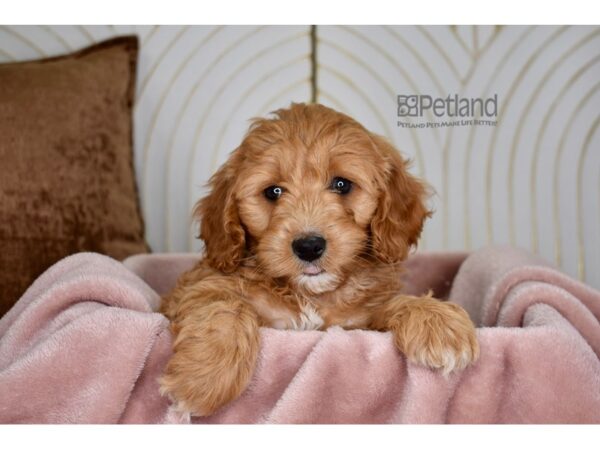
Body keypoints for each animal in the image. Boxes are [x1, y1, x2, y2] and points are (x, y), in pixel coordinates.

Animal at [159, 102, 478, 414]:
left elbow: (394, 302)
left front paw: (438, 322)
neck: (311, 295)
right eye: (273, 191)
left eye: (341, 184)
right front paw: (203, 378)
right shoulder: (199, 287)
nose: (309, 246)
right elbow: (224, 305)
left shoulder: (358, 323)